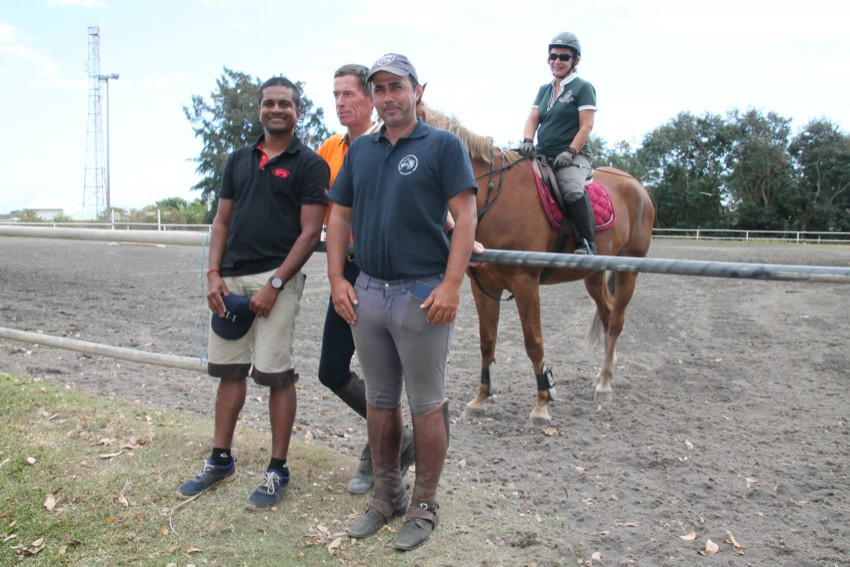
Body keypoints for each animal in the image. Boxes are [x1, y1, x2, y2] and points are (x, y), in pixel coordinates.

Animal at [420, 104, 656, 424]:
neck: (494, 194)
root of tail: (636, 185)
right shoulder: (482, 286)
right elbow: (486, 341)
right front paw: (480, 399)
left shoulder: (525, 283)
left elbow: (534, 342)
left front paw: (543, 402)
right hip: (593, 275)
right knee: (607, 313)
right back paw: (603, 372)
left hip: (629, 268)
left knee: (617, 320)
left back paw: (605, 383)